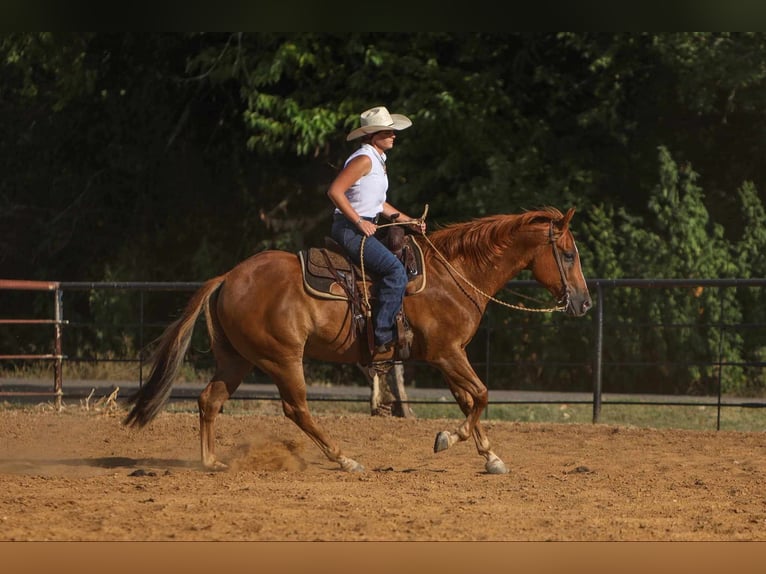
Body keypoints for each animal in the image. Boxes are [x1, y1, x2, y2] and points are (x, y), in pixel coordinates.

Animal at [124, 207, 592, 476]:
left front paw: (488, 455)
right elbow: (480, 395)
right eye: (569, 254)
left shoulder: (448, 356)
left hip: (237, 359)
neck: (453, 275)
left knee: (209, 400)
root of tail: (228, 277)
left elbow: (469, 400)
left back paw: (210, 461)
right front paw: (450, 440)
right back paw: (344, 458)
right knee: (297, 409)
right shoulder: (447, 353)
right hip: (281, 359)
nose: (584, 302)